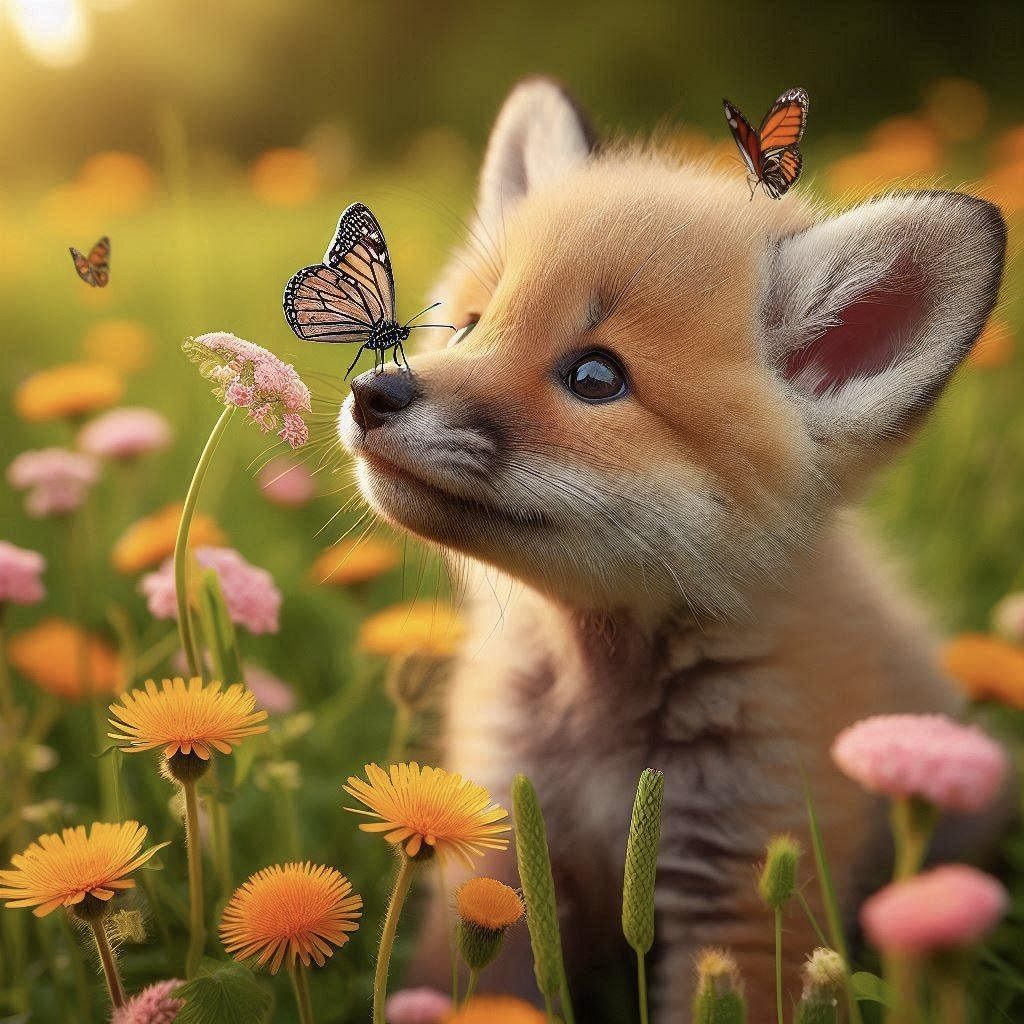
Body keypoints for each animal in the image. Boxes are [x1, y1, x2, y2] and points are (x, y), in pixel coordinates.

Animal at [338, 79, 1009, 1023]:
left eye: (595, 378)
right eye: (468, 327)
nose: (373, 393)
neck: (600, 720)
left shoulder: (742, 894)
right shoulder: (502, 844)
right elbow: (468, 983)